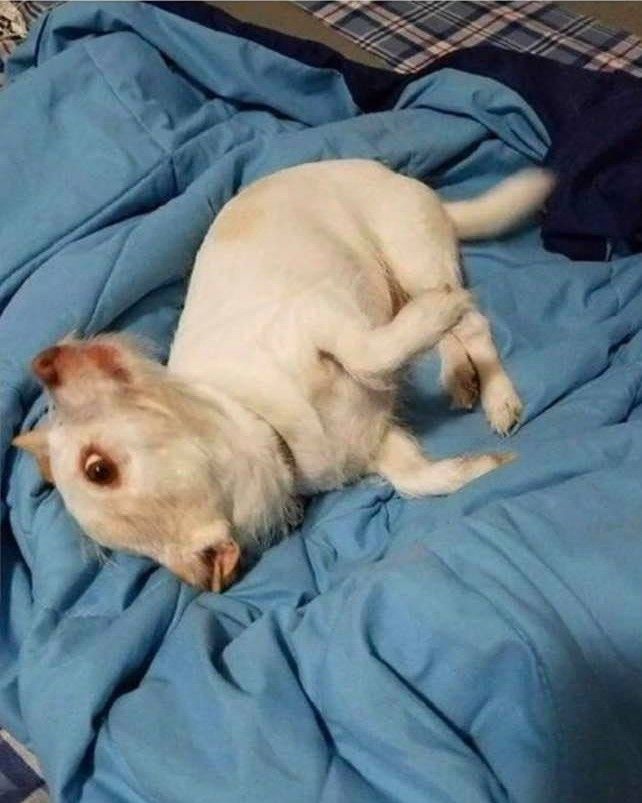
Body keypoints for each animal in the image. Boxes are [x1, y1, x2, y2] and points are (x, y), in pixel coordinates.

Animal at [13, 160, 552, 592]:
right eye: (98, 470)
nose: (43, 361)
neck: (267, 426)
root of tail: (412, 185)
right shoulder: (380, 443)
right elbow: (418, 479)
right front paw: (481, 467)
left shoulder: (321, 317)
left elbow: (370, 355)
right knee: (456, 333)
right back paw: (460, 376)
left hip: (410, 254)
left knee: (472, 323)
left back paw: (496, 391)